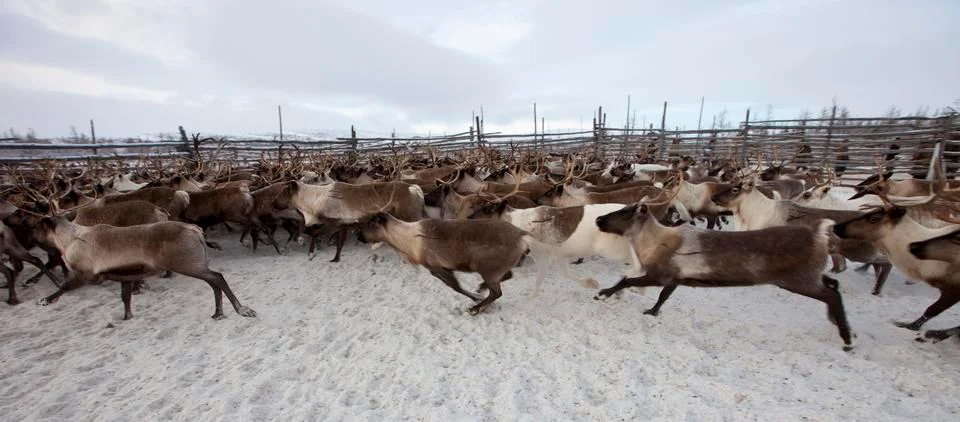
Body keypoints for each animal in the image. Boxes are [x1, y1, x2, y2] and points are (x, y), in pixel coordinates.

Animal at [593, 203, 854, 351]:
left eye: (624, 213)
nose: (598, 219)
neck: (651, 241)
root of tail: (820, 236)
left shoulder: (661, 275)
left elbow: (627, 281)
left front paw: (603, 293)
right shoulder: (676, 279)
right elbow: (663, 297)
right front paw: (652, 311)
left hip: (797, 280)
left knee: (831, 293)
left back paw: (847, 339)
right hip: (808, 277)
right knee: (834, 283)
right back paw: (837, 322)